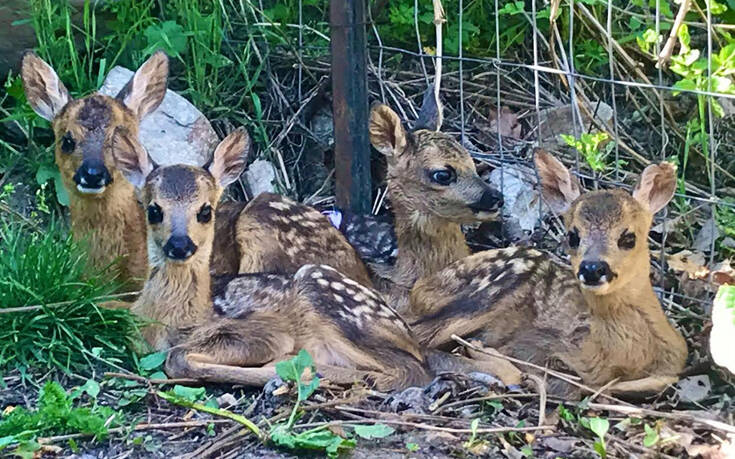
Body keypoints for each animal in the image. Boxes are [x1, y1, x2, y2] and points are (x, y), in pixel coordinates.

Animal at [408, 150, 688, 396]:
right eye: (573, 236)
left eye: (629, 237)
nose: (592, 268)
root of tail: (418, 290)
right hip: (497, 284)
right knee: (420, 338)